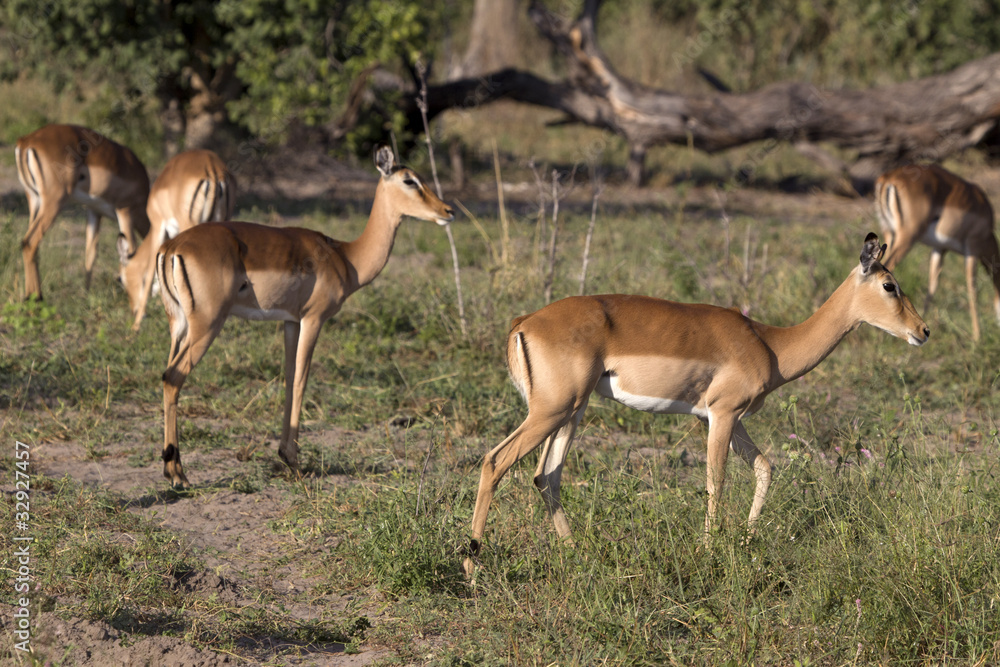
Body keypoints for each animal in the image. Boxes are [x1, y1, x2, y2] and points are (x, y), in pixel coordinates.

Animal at [15, 124, 151, 300]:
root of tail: (26, 141)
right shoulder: (125, 210)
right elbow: (132, 250)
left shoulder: (94, 211)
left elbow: (90, 252)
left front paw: (86, 295)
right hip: (54, 201)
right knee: (30, 242)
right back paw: (36, 297)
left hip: (34, 200)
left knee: (30, 244)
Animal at [117, 149, 235, 330]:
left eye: (121, 280)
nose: (133, 310)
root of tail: (213, 168)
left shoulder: (158, 227)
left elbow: (151, 271)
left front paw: (137, 325)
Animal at [156, 146, 454, 488]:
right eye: (409, 180)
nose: (447, 211)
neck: (345, 257)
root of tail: (172, 247)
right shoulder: (314, 319)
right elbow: (301, 379)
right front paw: (293, 460)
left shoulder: (290, 321)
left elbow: (288, 378)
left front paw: (284, 454)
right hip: (207, 324)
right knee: (173, 377)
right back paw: (178, 475)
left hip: (179, 326)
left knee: (166, 374)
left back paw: (172, 468)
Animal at [463, 234, 928, 576]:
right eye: (889, 285)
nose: (923, 330)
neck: (770, 344)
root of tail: (523, 322)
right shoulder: (722, 414)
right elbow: (715, 481)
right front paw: (709, 551)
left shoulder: (732, 419)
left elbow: (765, 468)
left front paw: (746, 540)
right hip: (551, 412)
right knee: (495, 460)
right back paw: (471, 566)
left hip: (570, 413)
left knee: (546, 476)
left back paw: (579, 554)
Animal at [875, 164, 1000, 341]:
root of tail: (889, 177)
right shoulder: (972, 249)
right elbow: (972, 288)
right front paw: (977, 337)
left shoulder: (940, 249)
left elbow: (932, 285)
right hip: (907, 236)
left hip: (889, 235)